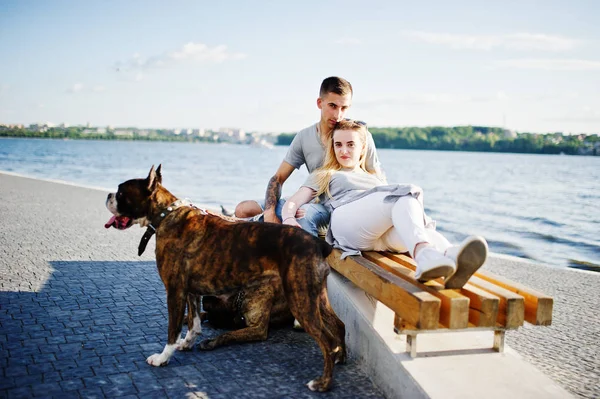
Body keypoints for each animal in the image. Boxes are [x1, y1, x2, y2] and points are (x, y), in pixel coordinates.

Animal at [105, 165, 344, 390]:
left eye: (121, 192)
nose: (108, 195)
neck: (167, 214)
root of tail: (318, 243)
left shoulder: (175, 292)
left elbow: (173, 330)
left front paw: (163, 357)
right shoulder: (191, 293)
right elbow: (194, 323)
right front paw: (187, 344)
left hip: (300, 299)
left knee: (326, 340)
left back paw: (323, 383)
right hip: (316, 297)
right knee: (339, 326)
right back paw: (340, 358)